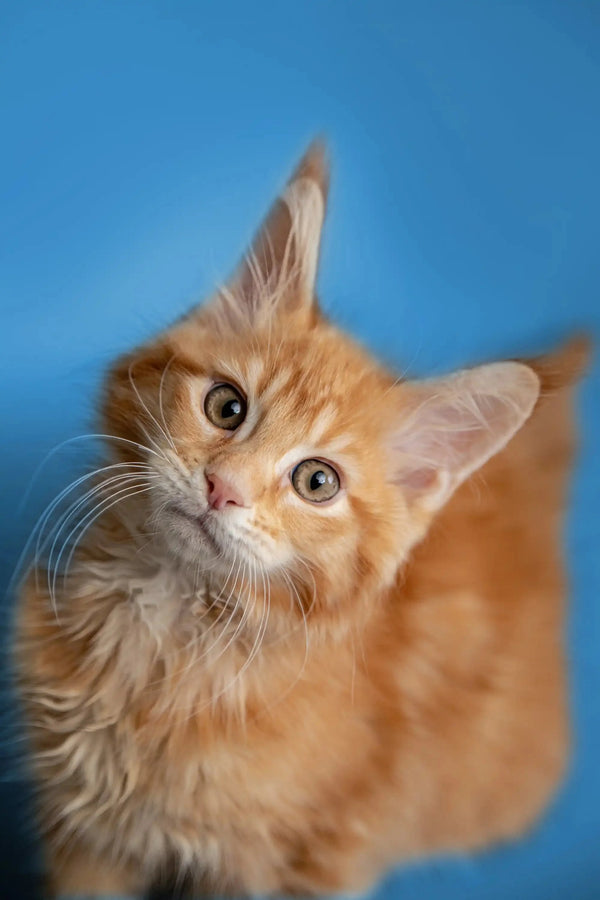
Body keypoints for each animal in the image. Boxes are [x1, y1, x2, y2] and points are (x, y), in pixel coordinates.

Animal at [16, 144, 588, 896]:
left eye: (317, 482)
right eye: (226, 406)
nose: (222, 488)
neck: (171, 628)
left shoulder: (296, 861)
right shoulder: (89, 838)